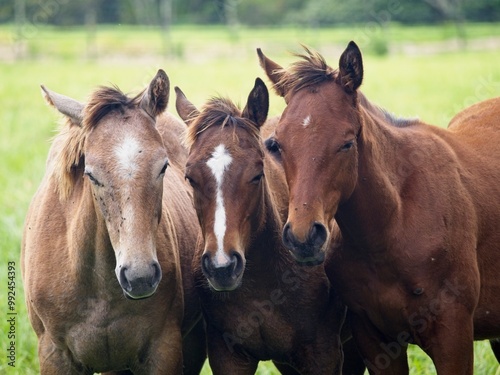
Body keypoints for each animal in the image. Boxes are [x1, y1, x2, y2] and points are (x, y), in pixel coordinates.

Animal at [258, 42, 500, 374]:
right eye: (276, 144)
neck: (394, 225)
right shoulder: (374, 338)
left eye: (347, 143)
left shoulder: (454, 335)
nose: (303, 238)